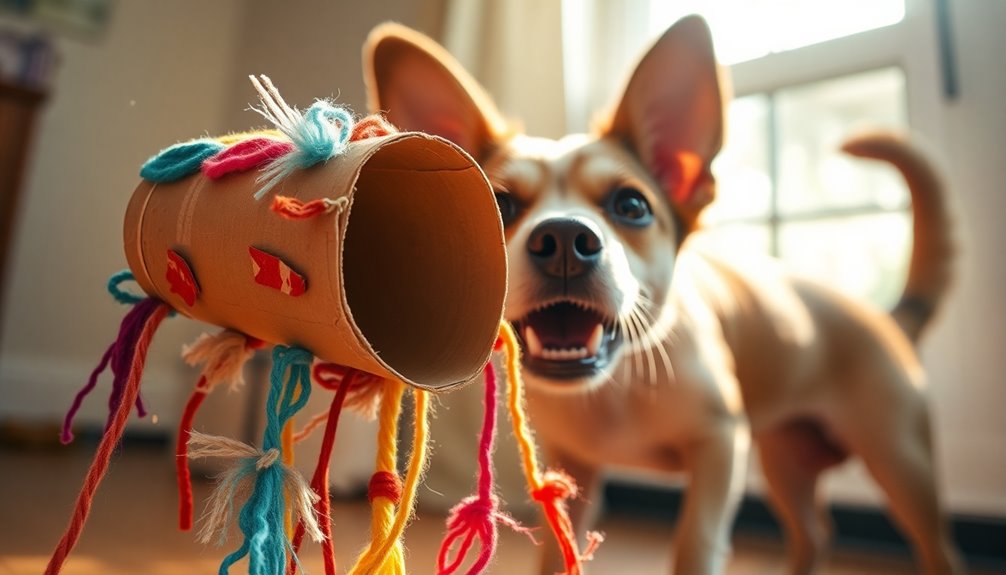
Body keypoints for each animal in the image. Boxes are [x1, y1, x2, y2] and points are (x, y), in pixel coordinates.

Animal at [366, 15, 961, 570]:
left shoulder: (720, 447)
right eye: (501, 206)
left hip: (900, 463)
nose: (564, 240)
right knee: (815, 534)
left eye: (632, 206)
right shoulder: (573, 474)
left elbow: (696, 545)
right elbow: (559, 555)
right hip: (786, 462)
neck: (616, 388)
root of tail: (888, 318)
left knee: (937, 548)